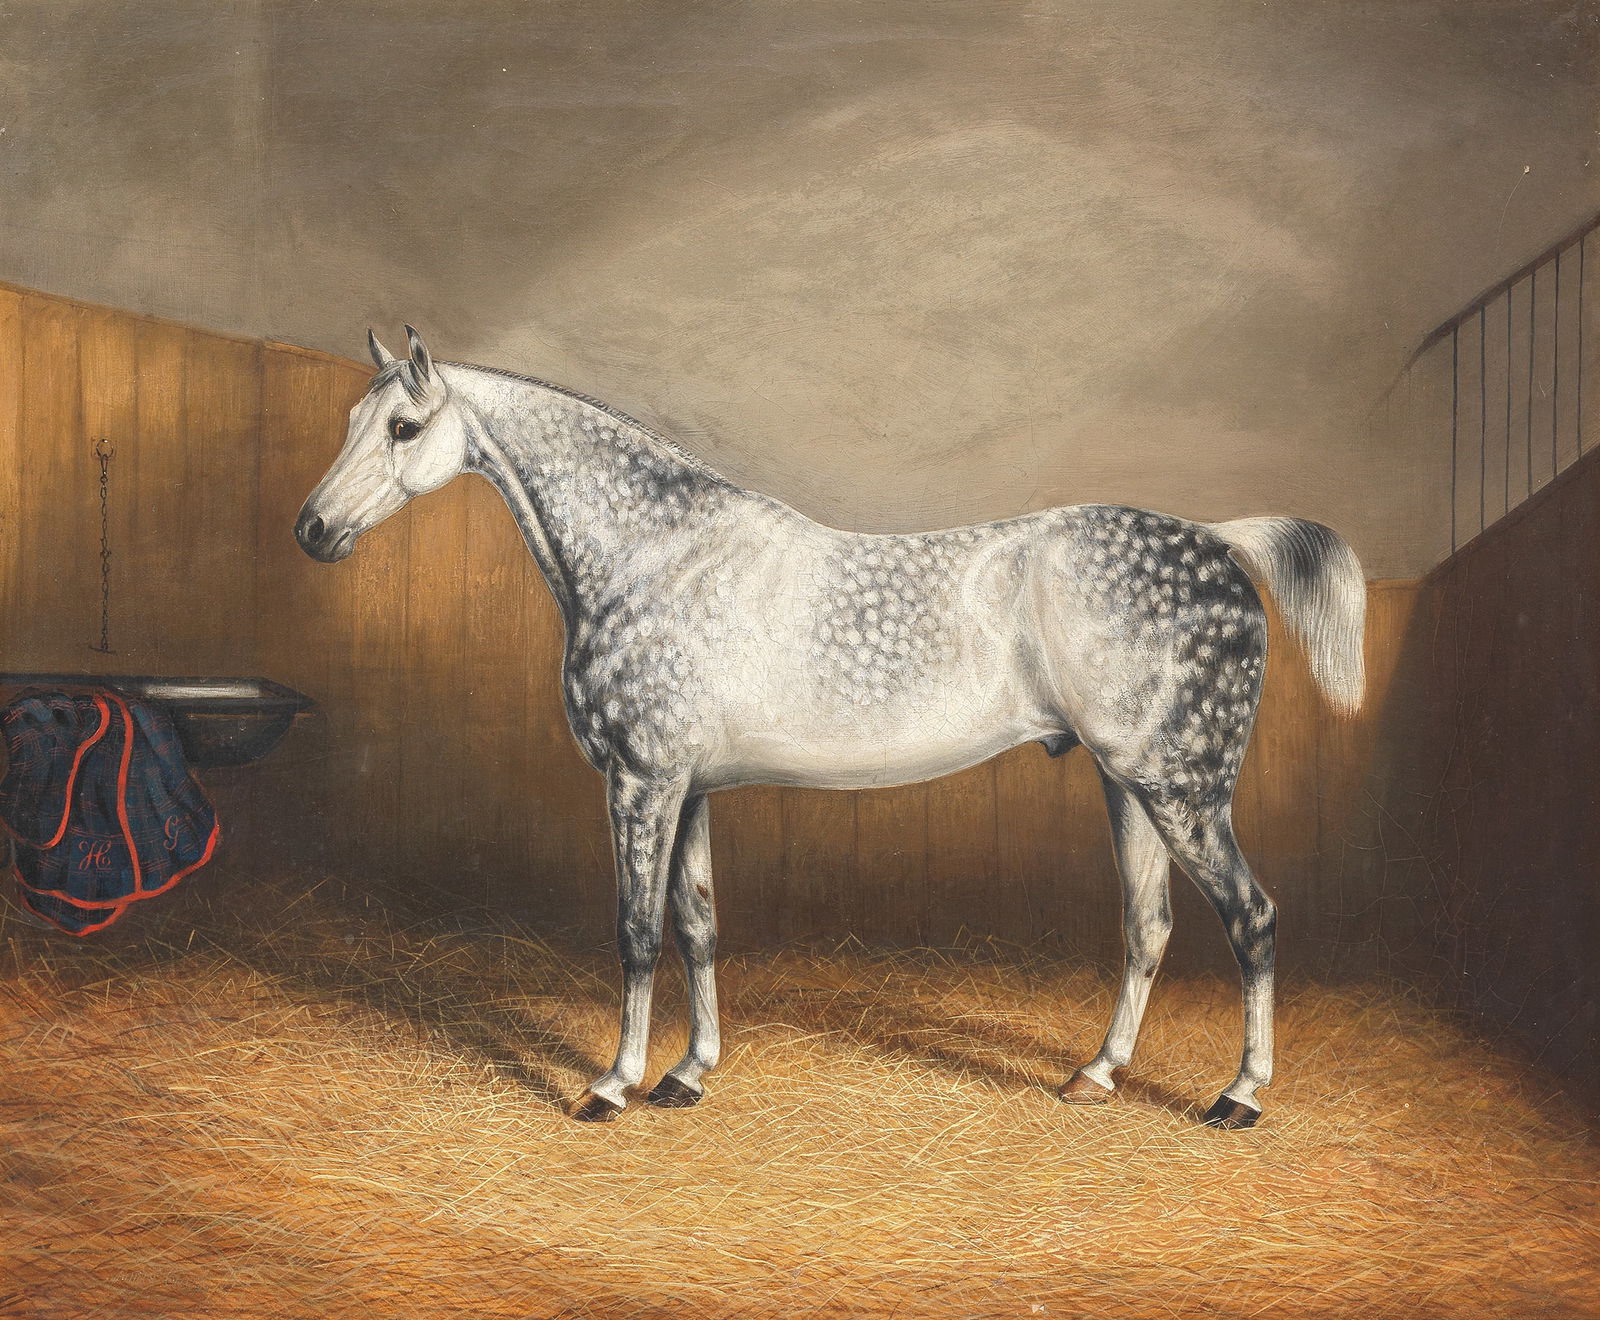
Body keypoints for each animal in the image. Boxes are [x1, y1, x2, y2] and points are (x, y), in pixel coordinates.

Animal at [295, 326, 1366, 1130]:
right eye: (349, 420)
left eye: (403, 426)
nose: (311, 530)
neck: (653, 555)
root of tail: (1219, 541)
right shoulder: (688, 790)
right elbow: (699, 925)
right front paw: (688, 1074)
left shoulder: (640, 782)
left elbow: (637, 932)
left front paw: (612, 1084)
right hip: (1129, 783)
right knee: (1149, 926)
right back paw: (1095, 1075)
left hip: (1184, 788)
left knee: (1252, 918)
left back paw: (1238, 1097)